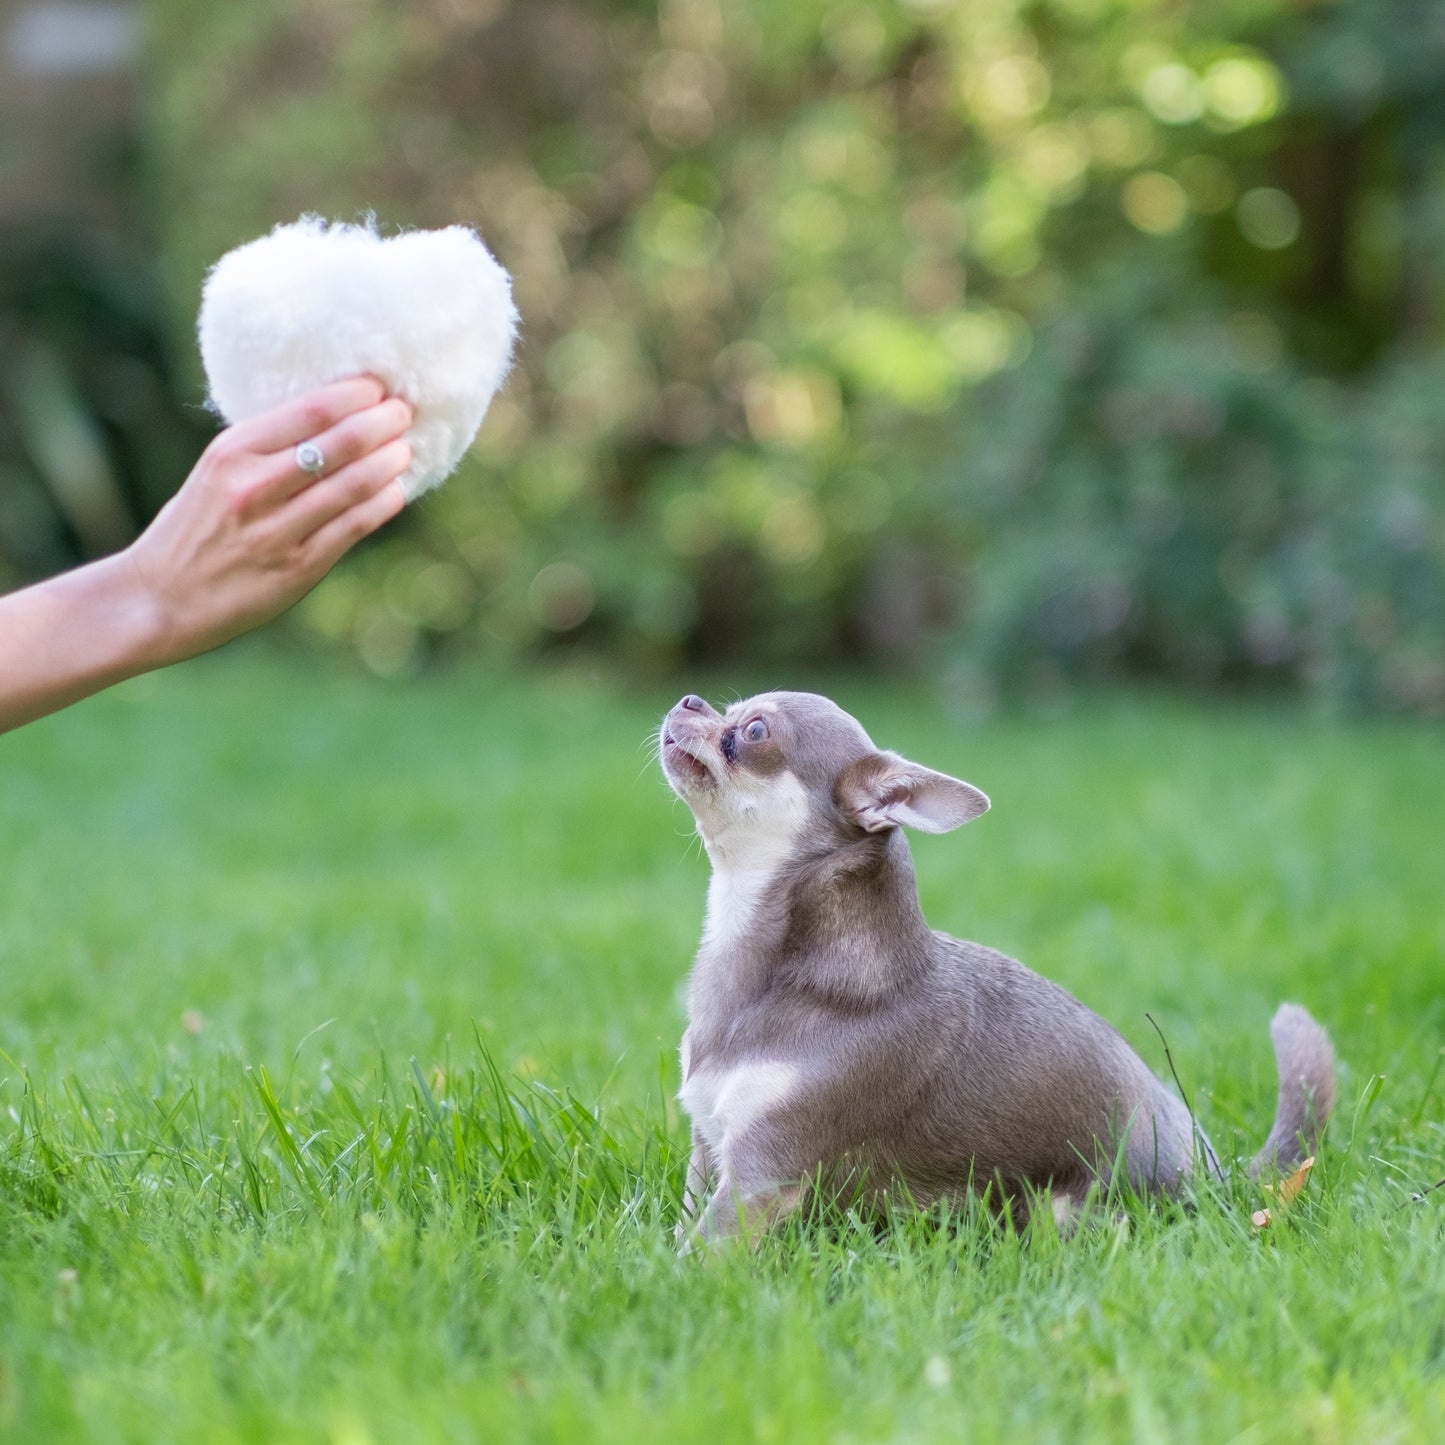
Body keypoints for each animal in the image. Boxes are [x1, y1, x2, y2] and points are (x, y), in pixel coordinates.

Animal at [661, 687, 1335, 1242]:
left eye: (754, 731)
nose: (690, 700)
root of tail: (1216, 1174)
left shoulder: (760, 1179)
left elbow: (696, 1253)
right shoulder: (707, 1150)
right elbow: (683, 1221)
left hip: (1069, 1205)